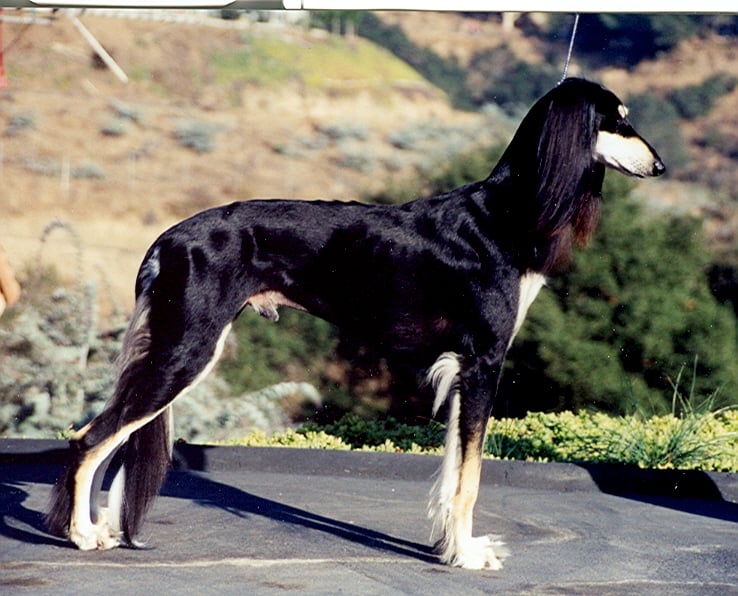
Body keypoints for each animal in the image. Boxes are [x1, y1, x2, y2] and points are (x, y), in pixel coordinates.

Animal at [47, 78, 664, 569]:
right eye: (617, 119)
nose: (659, 167)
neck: (506, 215)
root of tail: (168, 237)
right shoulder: (484, 362)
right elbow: (470, 477)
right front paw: (466, 556)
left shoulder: (462, 368)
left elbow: (453, 472)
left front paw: (448, 546)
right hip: (186, 349)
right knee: (88, 439)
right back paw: (80, 535)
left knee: (112, 440)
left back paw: (100, 528)